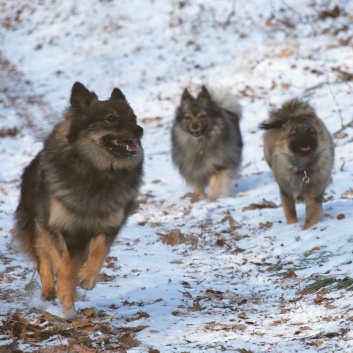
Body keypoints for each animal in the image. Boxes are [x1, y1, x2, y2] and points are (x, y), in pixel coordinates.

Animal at [13, 82, 143, 314]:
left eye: (133, 117)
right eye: (111, 118)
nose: (139, 130)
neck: (97, 172)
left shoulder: (105, 227)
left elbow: (99, 252)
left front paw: (87, 279)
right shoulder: (55, 226)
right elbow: (63, 265)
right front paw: (66, 297)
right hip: (36, 225)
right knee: (43, 257)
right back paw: (49, 290)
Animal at [260, 99, 334, 230]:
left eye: (311, 132)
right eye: (294, 134)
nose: (305, 141)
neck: (303, 168)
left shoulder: (314, 194)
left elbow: (311, 214)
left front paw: (307, 228)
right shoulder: (286, 192)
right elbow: (290, 211)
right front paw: (292, 225)